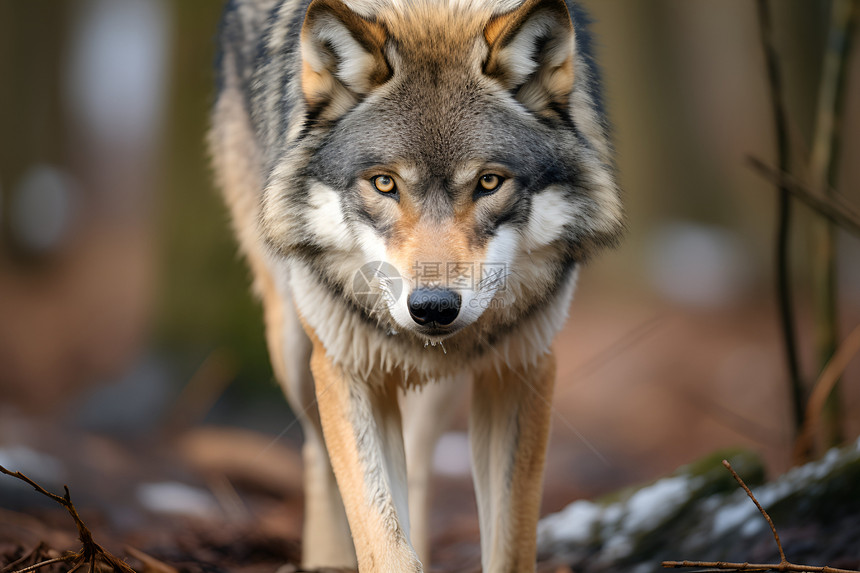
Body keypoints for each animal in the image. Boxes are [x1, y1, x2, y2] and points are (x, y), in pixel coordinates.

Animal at [211, 0, 620, 568]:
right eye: (385, 183)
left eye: (489, 182)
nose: (433, 307)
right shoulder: (347, 367)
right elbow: (383, 541)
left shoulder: (524, 367)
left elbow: (509, 545)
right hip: (294, 347)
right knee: (317, 454)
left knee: (420, 465)